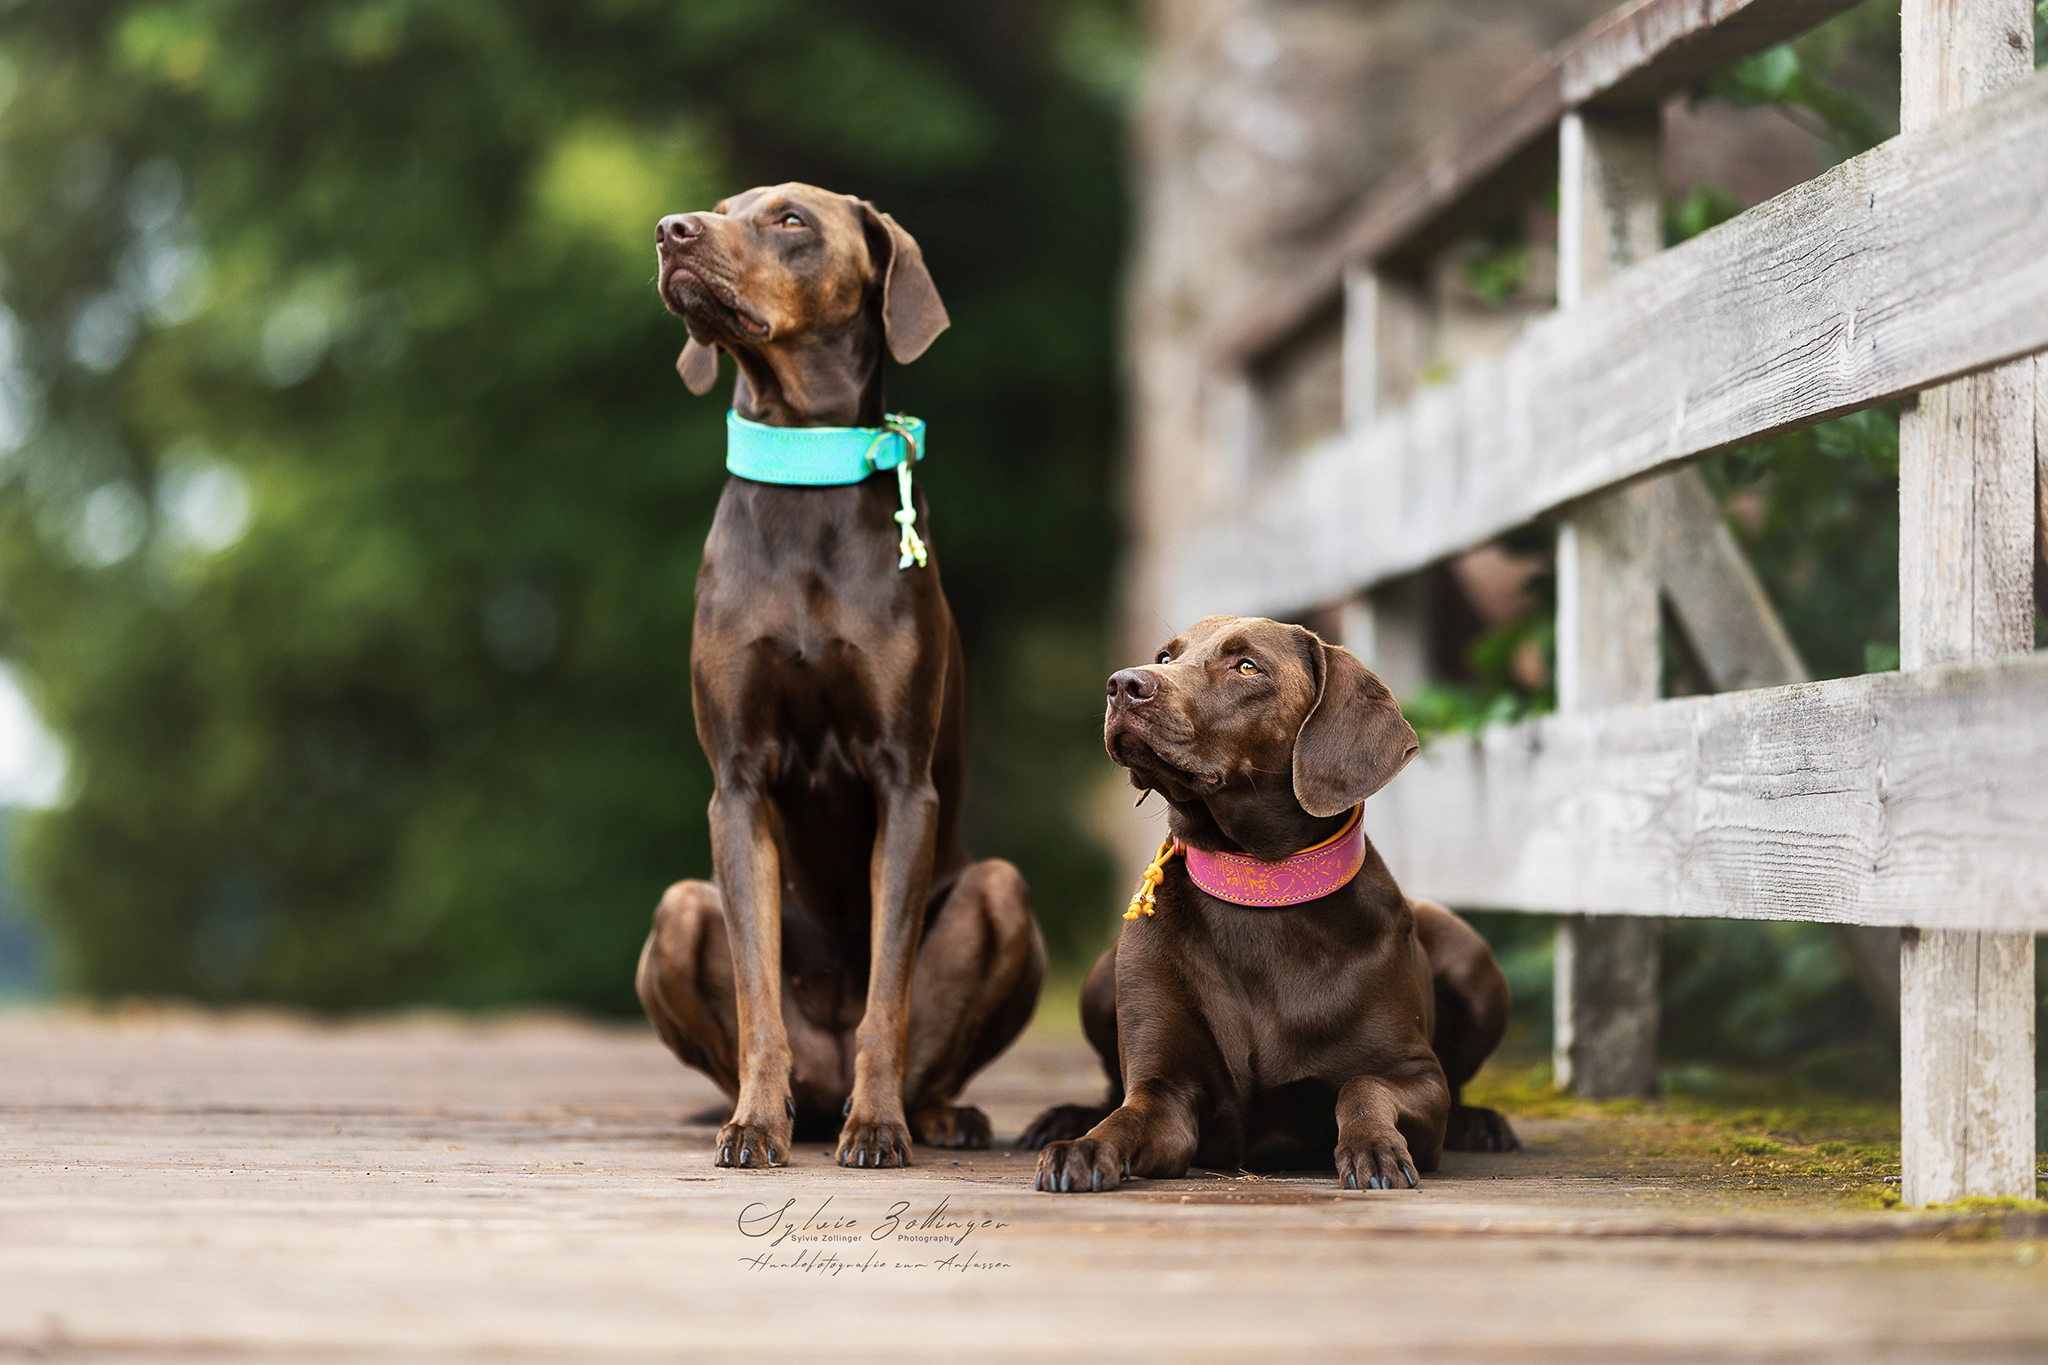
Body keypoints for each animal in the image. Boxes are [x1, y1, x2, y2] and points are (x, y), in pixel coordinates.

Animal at [638, 181, 1048, 1170]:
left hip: (1000, 894)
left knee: (924, 1045)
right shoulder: (738, 783)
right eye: (718, 207)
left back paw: (921, 1113)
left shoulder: (904, 783)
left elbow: (886, 999)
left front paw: (880, 1125)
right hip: (678, 911)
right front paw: (754, 1122)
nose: (670, 233)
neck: (806, 479)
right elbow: (757, 996)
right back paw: (777, 1108)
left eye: (791, 219)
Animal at [1024, 618, 1523, 1195]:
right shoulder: (1165, 1091)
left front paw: (1373, 1146)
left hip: (1469, 953)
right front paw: (1082, 1147)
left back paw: (1479, 1123)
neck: (1260, 882)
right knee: (1109, 1090)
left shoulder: (1417, 1075)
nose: (1123, 684)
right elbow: (1124, 1116)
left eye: (1247, 666)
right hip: (1103, 976)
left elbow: (1363, 1086)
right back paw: (1064, 1119)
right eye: (1166, 657)